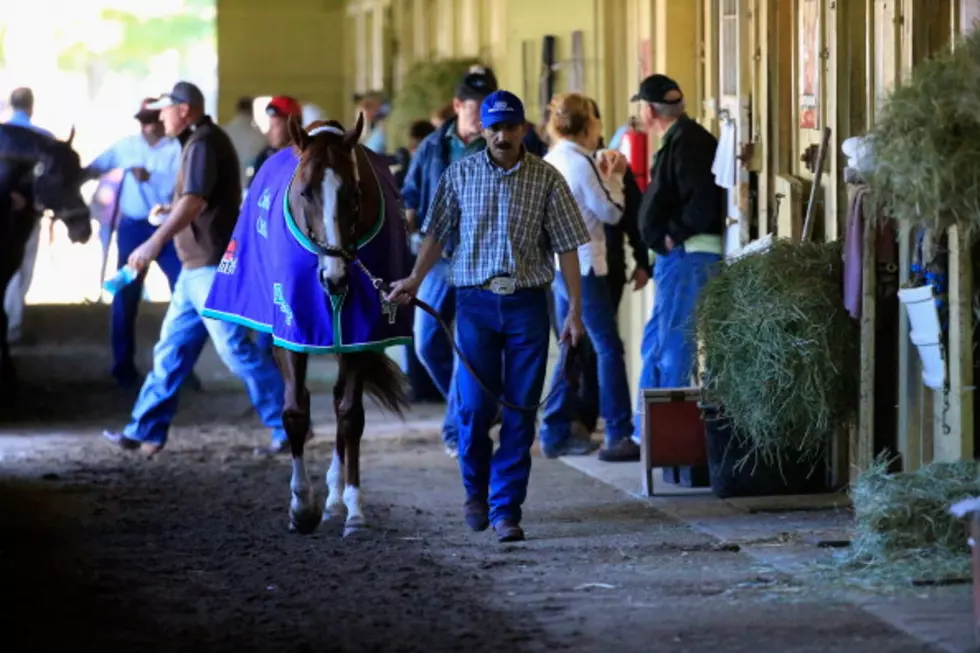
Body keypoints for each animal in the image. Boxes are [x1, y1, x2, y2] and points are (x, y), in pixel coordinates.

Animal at [205, 114, 412, 536]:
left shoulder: (358, 335)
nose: (334, 279)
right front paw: (301, 506)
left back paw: (335, 498)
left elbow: (350, 415)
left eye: (354, 193)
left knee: (339, 403)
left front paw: (353, 509)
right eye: (304, 192)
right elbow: (294, 412)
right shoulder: (291, 327)